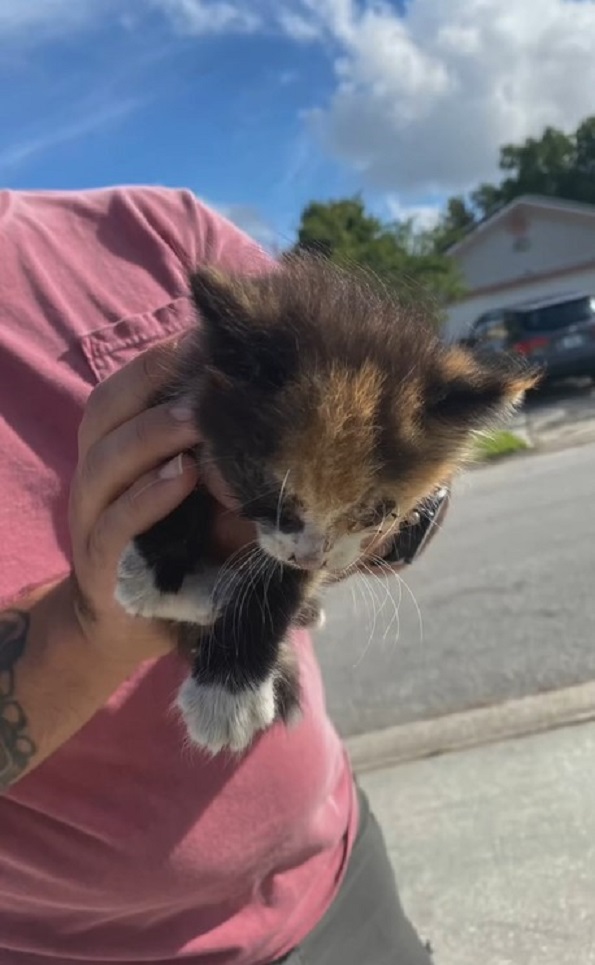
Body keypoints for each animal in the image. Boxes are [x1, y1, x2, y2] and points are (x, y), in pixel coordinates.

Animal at [115, 254, 540, 752]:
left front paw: (226, 693)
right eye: (265, 490)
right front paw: (161, 580)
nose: (310, 556)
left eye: (378, 512)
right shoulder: (176, 397)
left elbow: (278, 580)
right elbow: (171, 481)